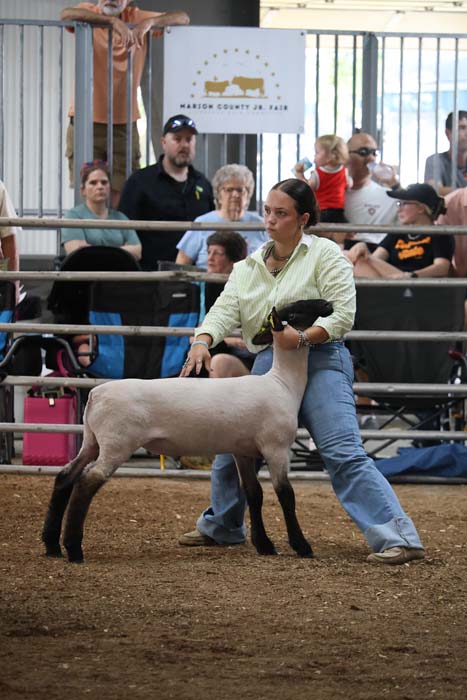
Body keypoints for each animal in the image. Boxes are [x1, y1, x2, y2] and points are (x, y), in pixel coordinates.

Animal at [42, 300, 332, 564]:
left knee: (66, 476)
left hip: (92, 442)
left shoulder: (242, 451)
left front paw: (264, 545)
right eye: (294, 312)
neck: (282, 383)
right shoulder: (276, 448)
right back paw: (74, 549)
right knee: (85, 483)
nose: (328, 304)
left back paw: (52, 545)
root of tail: (95, 394)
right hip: (116, 444)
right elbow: (286, 495)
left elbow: (254, 494)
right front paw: (301, 546)